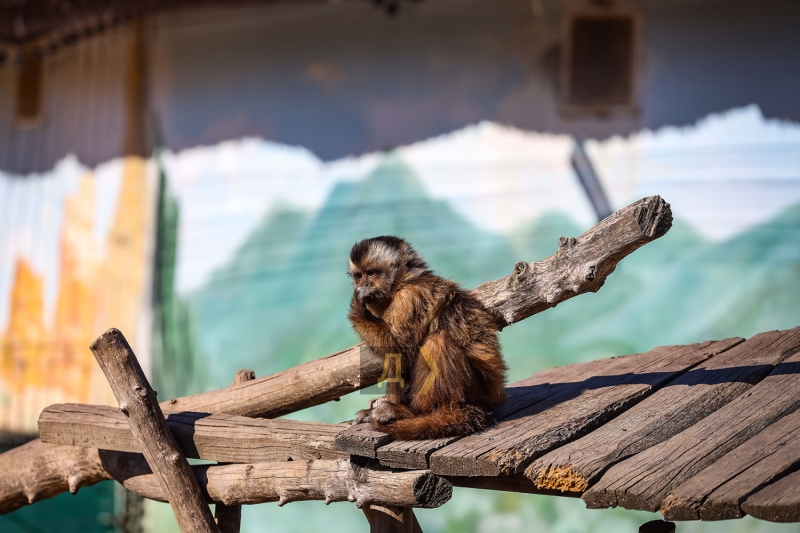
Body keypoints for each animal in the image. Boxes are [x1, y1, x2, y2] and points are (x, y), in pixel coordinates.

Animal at [346, 235, 506, 438]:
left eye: (372, 273)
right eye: (359, 276)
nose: (363, 284)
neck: (402, 283)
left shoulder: (409, 299)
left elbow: (402, 350)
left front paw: (358, 308)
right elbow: (397, 355)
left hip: (477, 392)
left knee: (437, 342)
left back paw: (419, 413)